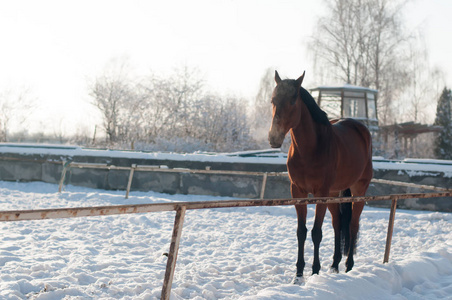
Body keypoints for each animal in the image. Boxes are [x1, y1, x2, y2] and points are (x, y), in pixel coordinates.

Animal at [270, 71, 372, 284]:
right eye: (273, 100)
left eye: (293, 100)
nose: (273, 138)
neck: (310, 149)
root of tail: (360, 129)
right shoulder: (298, 192)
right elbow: (301, 232)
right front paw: (298, 274)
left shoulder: (320, 193)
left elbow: (316, 232)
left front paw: (315, 271)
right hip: (334, 194)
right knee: (337, 224)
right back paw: (334, 265)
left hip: (358, 190)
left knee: (352, 225)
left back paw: (349, 266)